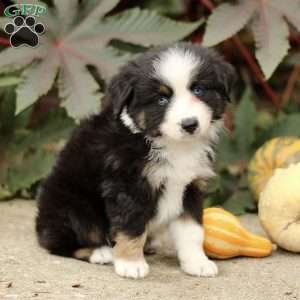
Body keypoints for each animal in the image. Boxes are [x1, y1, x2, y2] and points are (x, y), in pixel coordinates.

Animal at [36, 42, 236, 278]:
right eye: (162, 99)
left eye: (199, 90)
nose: (189, 124)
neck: (172, 145)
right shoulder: (128, 185)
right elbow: (130, 225)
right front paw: (130, 264)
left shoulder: (191, 186)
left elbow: (192, 230)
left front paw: (197, 262)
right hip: (73, 207)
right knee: (59, 242)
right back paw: (101, 252)